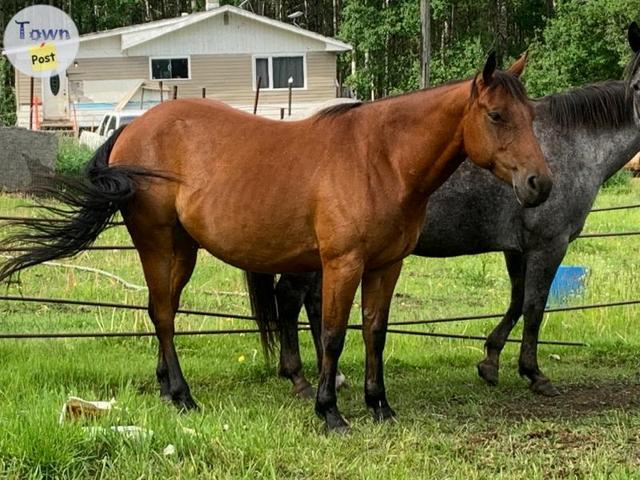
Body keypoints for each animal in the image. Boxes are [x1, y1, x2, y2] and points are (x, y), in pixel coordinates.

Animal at [0, 51, 552, 432]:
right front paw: (330, 413)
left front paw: (380, 405)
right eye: (497, 115)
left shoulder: (386, 265)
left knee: (164, 312)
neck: (381, 158)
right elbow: (332, 334)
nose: (540, 184)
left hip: (183, 250)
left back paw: (168, 391)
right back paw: (184, 395)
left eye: (531, 116)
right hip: (158, 244)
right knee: (162, 315)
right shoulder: (342, 264)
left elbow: (374, 332)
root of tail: (133, 129)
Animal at [248, 27, 640, 402]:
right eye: (637, 85)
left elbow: (516, 301)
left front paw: (490, 361)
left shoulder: (517, 248)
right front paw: (533, 373)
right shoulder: (548, 244)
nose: (538, 184)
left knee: (310, 303)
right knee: (292, 298)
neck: (574, 144)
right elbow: (533, 308)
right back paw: (301, 378)